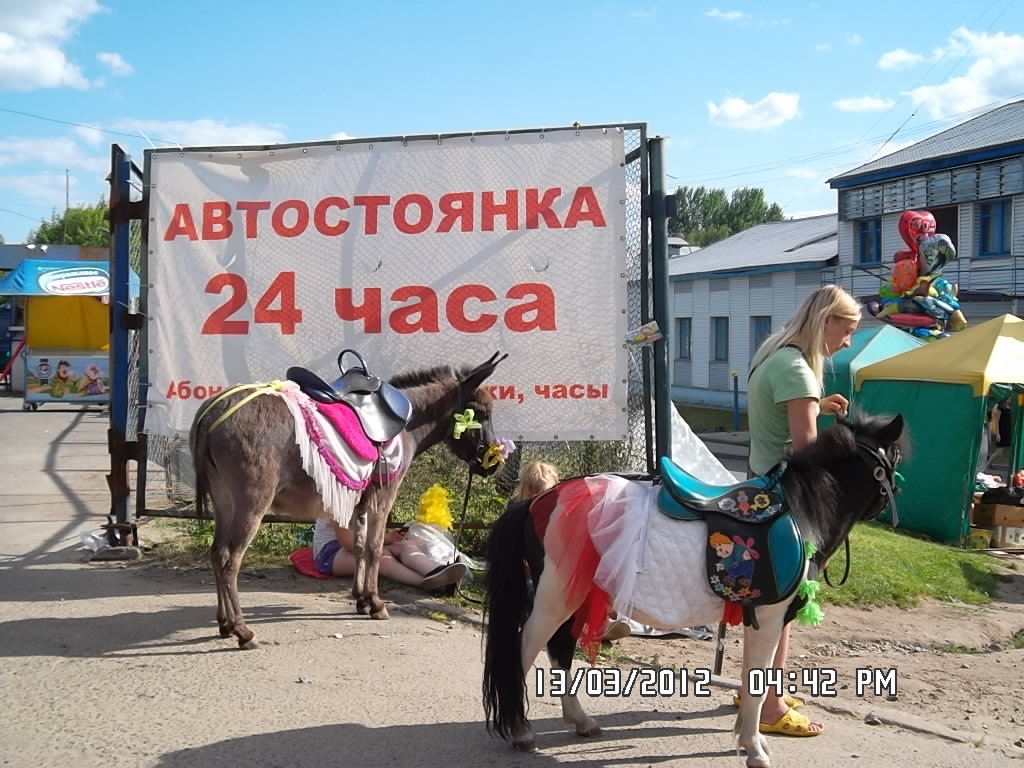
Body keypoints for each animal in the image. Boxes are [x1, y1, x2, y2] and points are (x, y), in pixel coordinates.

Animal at [189, 351, 508, 650]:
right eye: (480, 413)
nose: (493, 464)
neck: (404, 423)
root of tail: (212, 412)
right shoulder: (384, 496)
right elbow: (376, 548)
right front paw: (376, 604)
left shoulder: (359, 502)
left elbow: (359, 546)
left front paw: (361, 599)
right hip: (251, 504)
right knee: (230, 560)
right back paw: (242, 631)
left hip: (225, 502)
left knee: (216, 554)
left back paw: (225, 624)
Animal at [481, 411, 906, 768]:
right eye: (896, 458)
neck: (801, 512)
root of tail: (538, 501)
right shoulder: (769, 617)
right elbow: (757, 681)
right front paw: (754, 749)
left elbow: (753, 677)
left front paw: (748, 740)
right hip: (555, 597)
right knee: (524, 649)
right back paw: (520, 730)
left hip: (577, 595)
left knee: (562, 650)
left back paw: (580, 720)